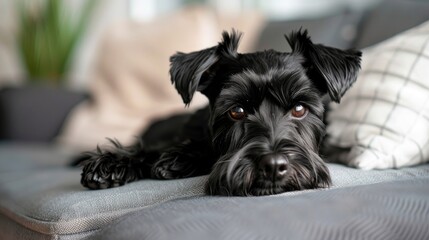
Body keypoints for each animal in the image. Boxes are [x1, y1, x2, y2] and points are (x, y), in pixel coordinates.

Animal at [80, 29, 362, 196]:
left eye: (299, 108)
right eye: (237, 111)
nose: (273, 166)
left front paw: (176, 161)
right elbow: (149, 150)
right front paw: (111, 164)